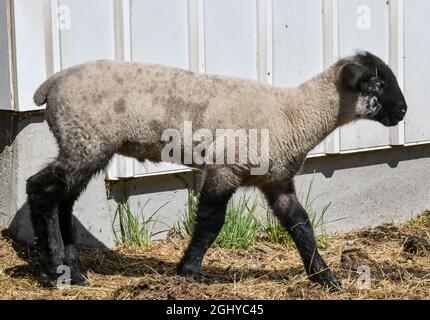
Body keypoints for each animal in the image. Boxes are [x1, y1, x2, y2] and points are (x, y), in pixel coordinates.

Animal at [26, 50, 406, 288]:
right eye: (376, 83)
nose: (403, 111)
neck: (293, 114)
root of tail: (51, 85)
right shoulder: (226, 166)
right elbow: (211, 223)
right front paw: (187, 272)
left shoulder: (276, 180)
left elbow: (301, 225)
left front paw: (325, 278)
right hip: (86, 138)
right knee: (40, 190)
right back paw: (53, 269)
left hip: (85, 144)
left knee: (64, 201)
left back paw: (75, 272)